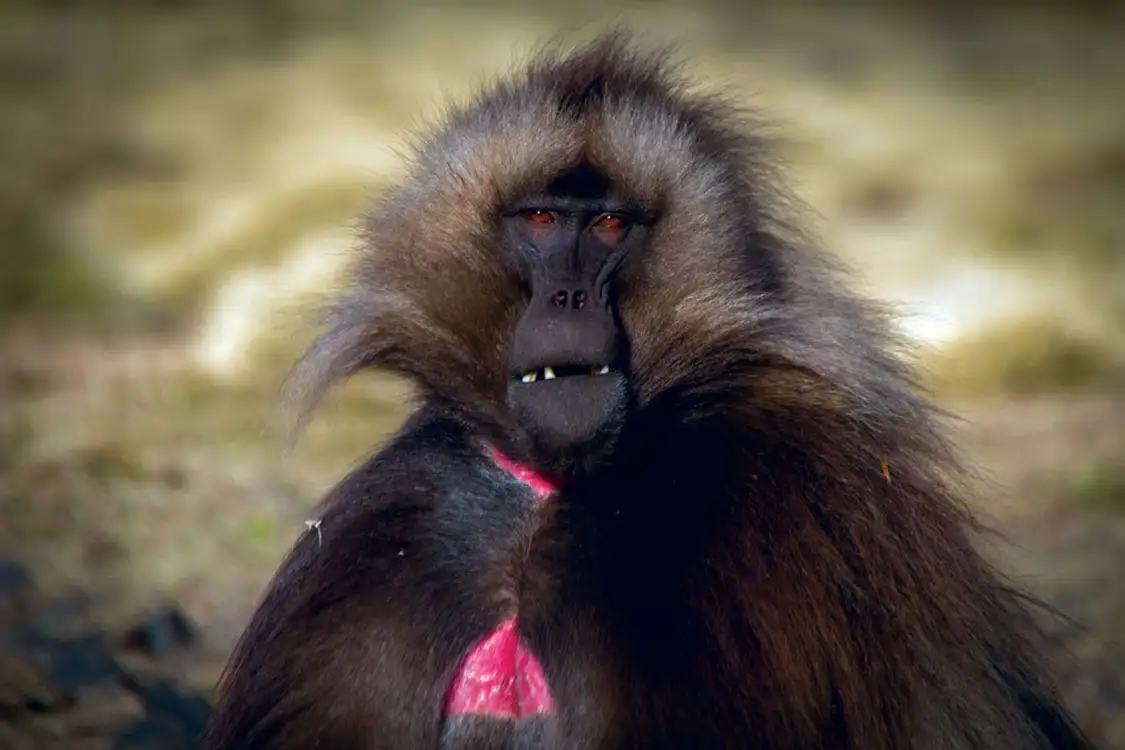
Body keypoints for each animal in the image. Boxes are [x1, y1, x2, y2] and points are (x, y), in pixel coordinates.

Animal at [201, 32, 1094, 750]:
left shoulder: (813, 500)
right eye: (539, 220)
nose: (568, 300)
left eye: (608, 226)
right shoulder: (400, 522)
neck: (552, 495)